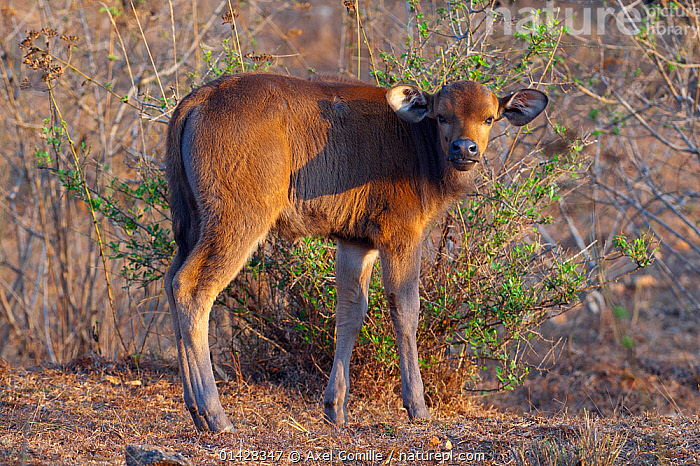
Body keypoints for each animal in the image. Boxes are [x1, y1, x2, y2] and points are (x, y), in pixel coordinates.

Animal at [164, 72, 547, 431]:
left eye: (489, 117)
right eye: (442, 116)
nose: (464, 149)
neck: (416, 142)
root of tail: (200, 99)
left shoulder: (356, 241)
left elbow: (351, 310)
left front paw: (335, 409)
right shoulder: (401, 235)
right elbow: (405, 308)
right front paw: (417, 406)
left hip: (191, 224)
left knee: (171, 282)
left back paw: (195, 410)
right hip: (239, 218)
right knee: (194, 288)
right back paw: (216, 415)